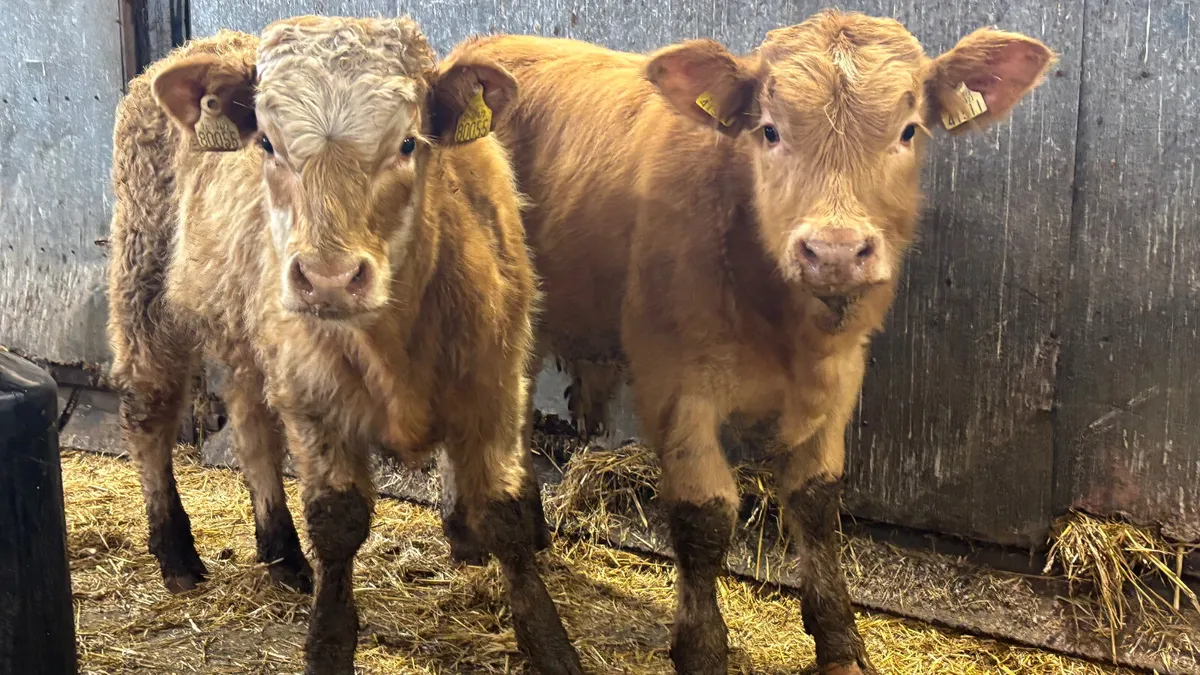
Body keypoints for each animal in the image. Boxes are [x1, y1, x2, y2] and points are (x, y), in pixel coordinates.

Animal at [106, 16, 582, 674]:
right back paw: (176, 555)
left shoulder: (495, 384)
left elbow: (505, 515)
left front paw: (552, 646)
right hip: (145, 287)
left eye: (408, 143)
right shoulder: (313, 394)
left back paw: (282, 554)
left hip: (247, 335)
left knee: (251, 427)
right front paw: (327, 644)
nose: (328, 277)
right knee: (148, 414)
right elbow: (337, 521)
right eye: (267, 143)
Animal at [445, 11, 1054, 674]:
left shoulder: (841, 376)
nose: (834, 251)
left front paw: (841, 644)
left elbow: (817, 503)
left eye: (909, 130)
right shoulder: (676, 384)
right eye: (769, 130)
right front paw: (703, 650)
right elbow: (705, 517)